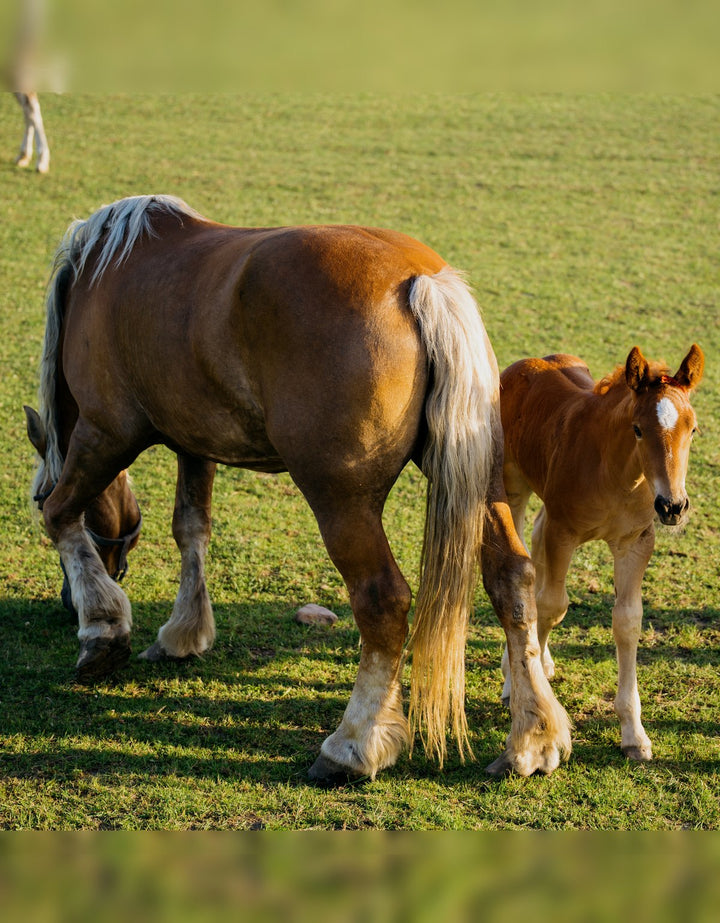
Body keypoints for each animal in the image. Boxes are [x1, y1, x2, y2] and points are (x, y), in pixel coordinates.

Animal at [25, 194, 571, 782]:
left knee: (382, 600)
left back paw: (353, 744)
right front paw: (183, 633)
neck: (100, 275)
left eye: (32, 494)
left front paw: (102, 629)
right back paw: (534, 735)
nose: (66, 604)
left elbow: (61, 516)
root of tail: (419, 280)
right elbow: (191, 529)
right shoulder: (194, 443)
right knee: (512, 578)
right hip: (481, 484)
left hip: (339, 500)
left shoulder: (105, 433)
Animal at [499, 345, 704, 760]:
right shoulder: (563, 533)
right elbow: (552, 606)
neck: (617, 474)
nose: (673, 506)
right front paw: (532, 701)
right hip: (514, 487)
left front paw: (634, 734)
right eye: (638, 429)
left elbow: (627, 621)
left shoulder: (635, 543)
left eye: (692, 429)